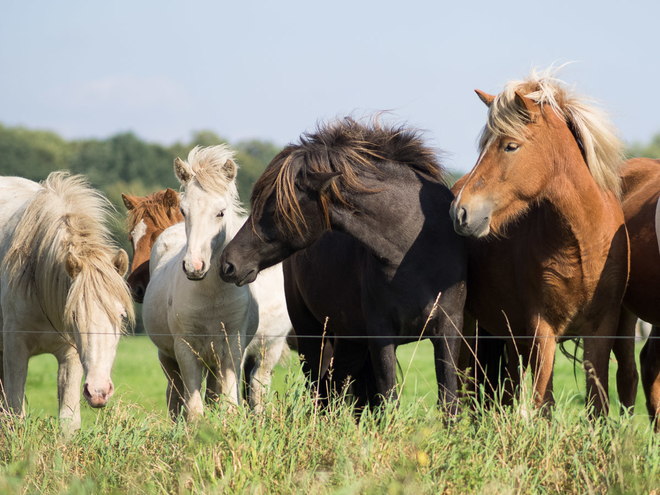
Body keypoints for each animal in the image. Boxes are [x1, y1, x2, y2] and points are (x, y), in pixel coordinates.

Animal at [0, 172, 134, 432]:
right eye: (74, 316)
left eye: (121, 316)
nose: (99, 392)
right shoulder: (14, 349)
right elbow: (15, 416)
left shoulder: (71, 355)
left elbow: (68, 422)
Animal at [144, 146, 292, 418]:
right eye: (184, 211)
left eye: (220, 212)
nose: (194, 266)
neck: (212, 295)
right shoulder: (185, 349)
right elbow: (194, 410)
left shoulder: (233, 347)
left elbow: (230, 403)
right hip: (169, 357)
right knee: (175, 394)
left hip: (266, 349)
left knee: (257, 388)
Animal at [219, 118, 466, 412]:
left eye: (275, 208)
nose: (228, 263)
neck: (415, 252)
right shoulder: (381, 335)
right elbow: (388, 398)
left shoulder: (447, 331)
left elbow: (448, 400)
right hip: (315, 337)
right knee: (321, 390)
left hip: (348, 340)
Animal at [452, 70, 632, 416]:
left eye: (510, 146)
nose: (460, 212)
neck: (582, 243)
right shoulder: (542, 328)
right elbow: (543, 404)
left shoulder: (601, 329)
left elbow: (597, 406)